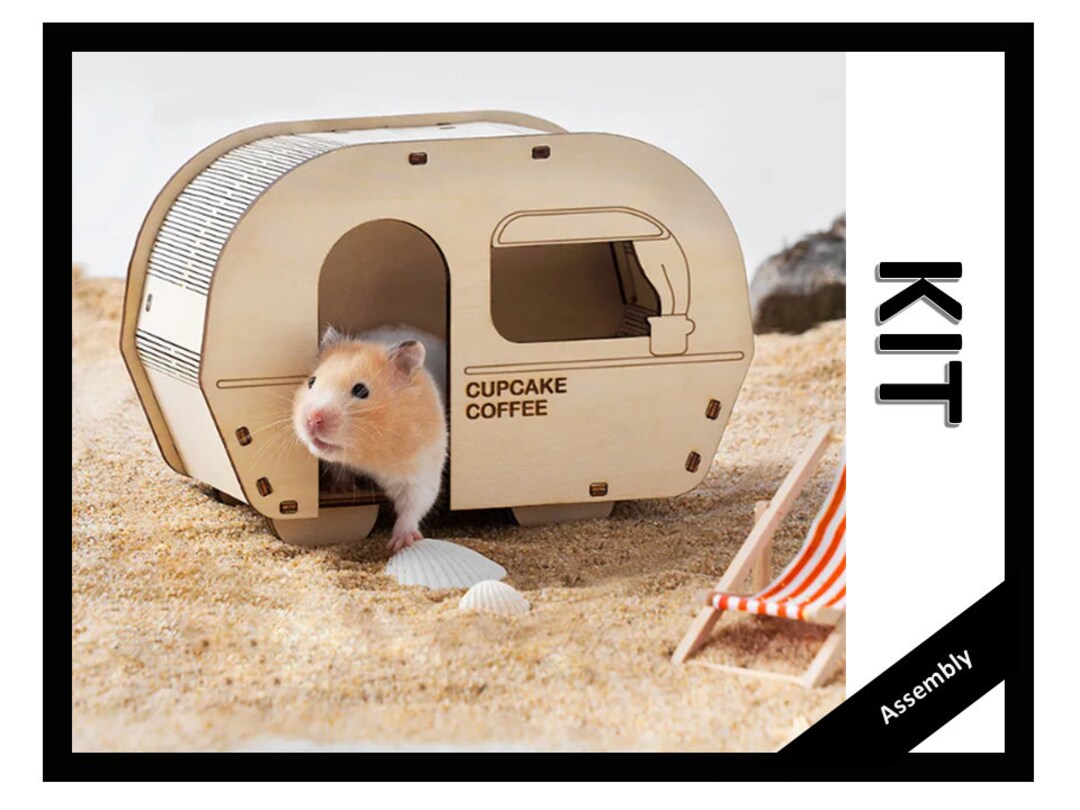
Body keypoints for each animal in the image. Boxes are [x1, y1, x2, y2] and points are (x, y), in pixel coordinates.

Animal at [293, 325, 448, 553]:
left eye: (361, 390)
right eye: (311, 381)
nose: (312, 420)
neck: (368, 455)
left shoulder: (422, 471)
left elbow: (413, 507)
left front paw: (400, 544)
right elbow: (339, 469)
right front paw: (342, 489)